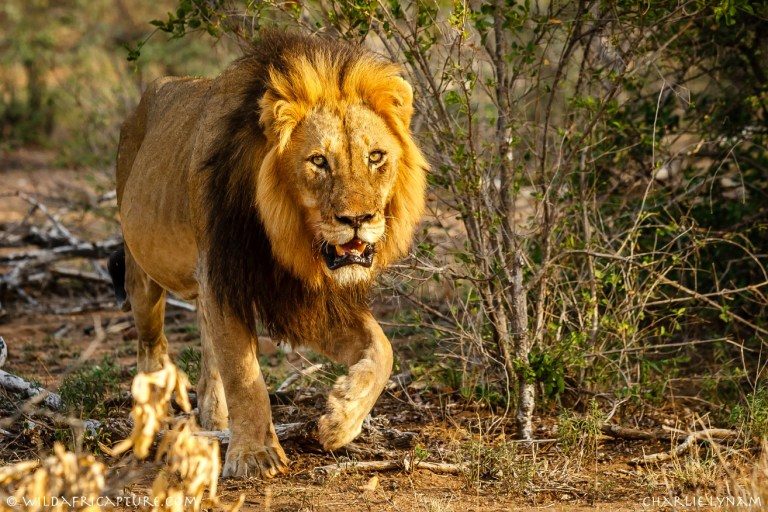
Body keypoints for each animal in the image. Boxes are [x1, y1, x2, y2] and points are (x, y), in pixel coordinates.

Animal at [112, 32, 427, 478]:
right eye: (319, 161)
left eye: (376, 157)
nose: (357, 219)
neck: (286, 237)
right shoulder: (225, 276)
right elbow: (245, 373)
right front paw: (255, 455)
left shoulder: (302, 296)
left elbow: (383, 348)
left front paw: (340, 419)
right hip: (142, 272)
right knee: (151, 345)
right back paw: (154, 420)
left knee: (206, 351)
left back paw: (215, 420)